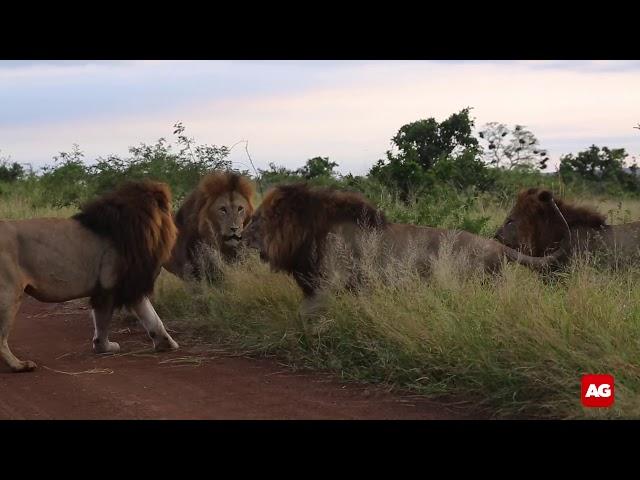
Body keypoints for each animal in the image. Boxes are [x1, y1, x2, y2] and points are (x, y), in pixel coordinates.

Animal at [0, 182, 180, 374]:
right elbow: (103, 321)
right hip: (9, 294)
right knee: (1, 339)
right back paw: (19, 365)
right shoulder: (110, 286)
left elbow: (152, 318)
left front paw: (167, 344)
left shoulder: (128, 285)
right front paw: (105, 347)